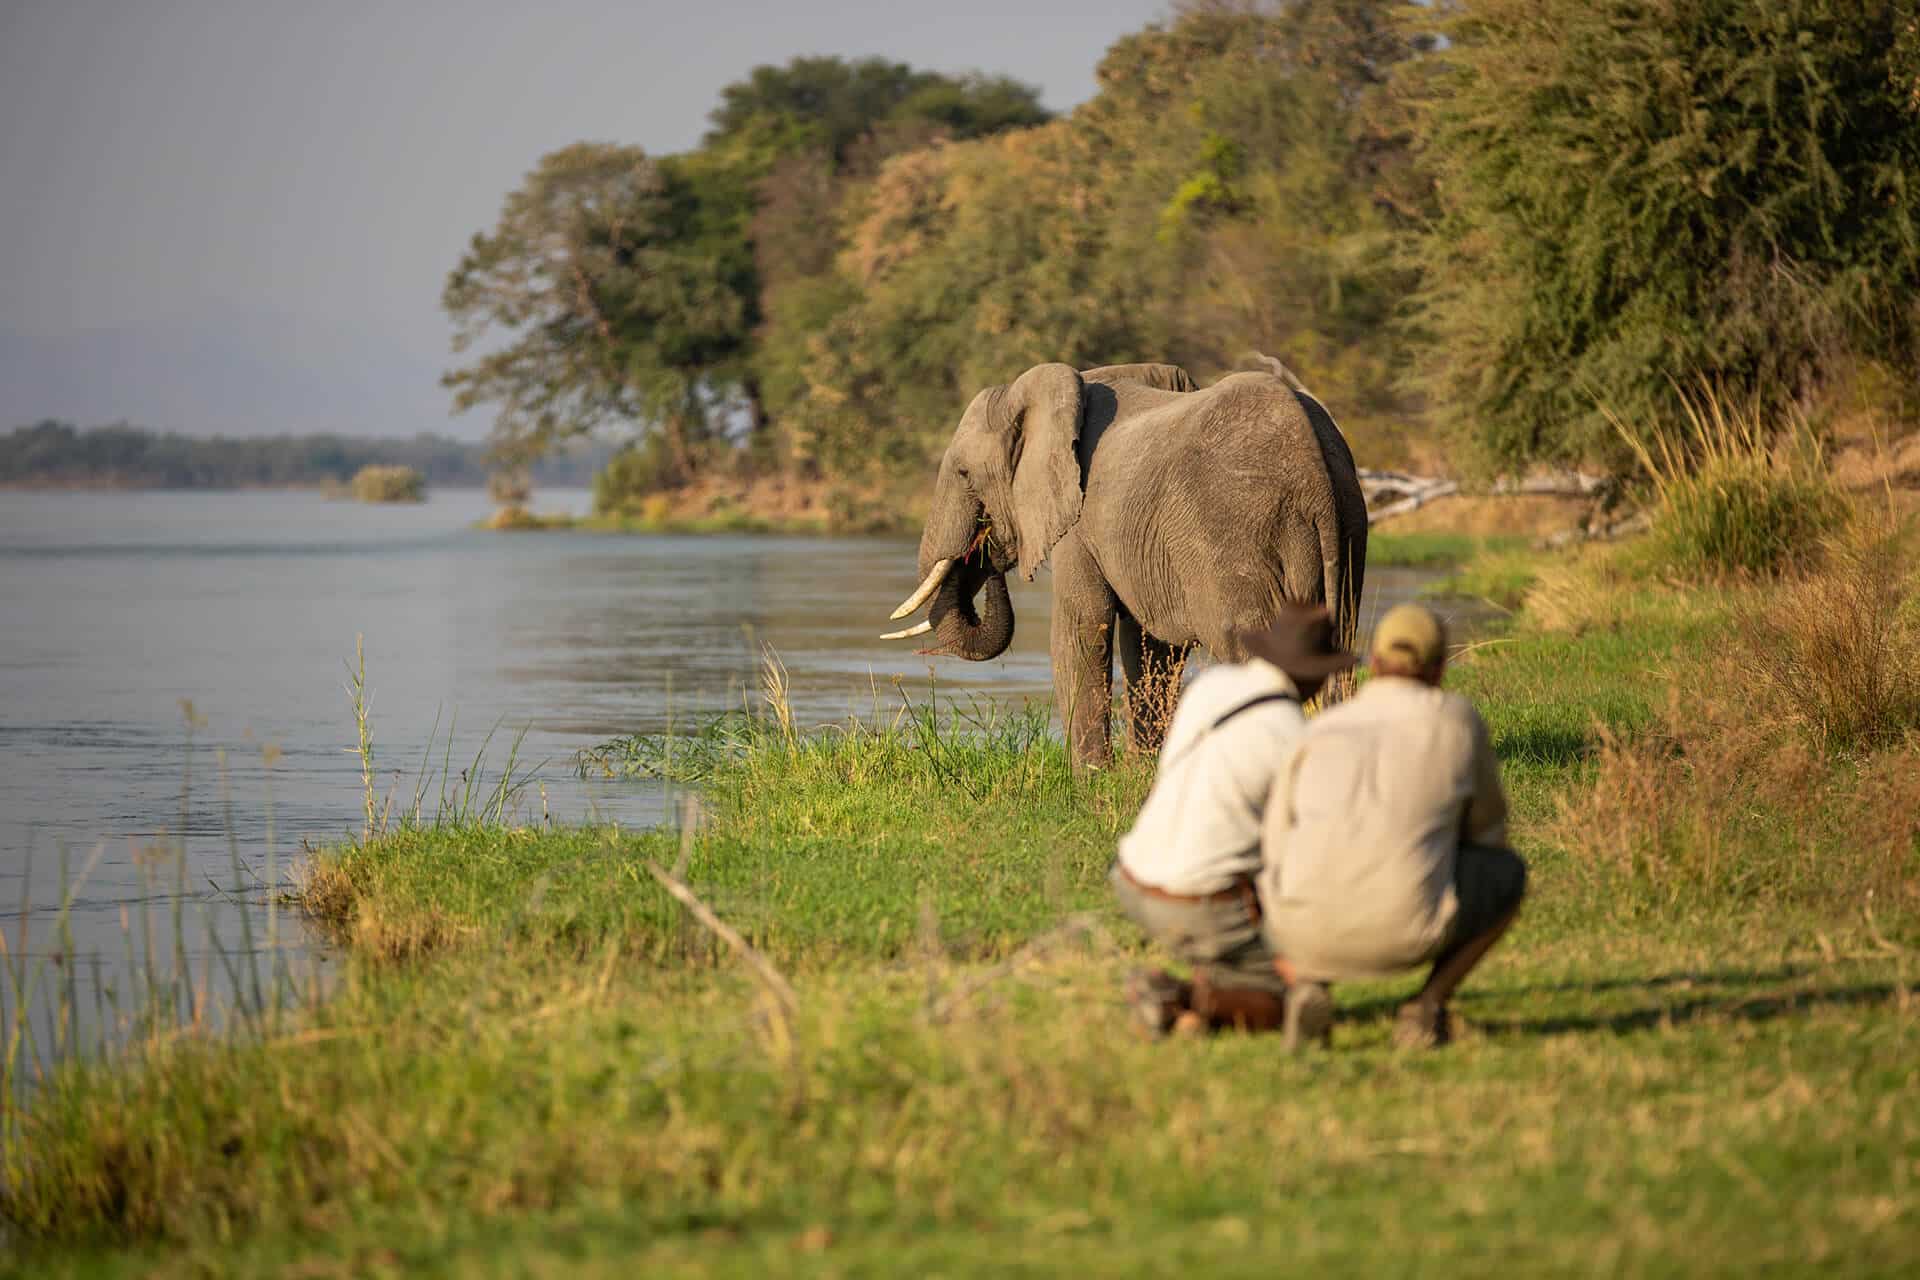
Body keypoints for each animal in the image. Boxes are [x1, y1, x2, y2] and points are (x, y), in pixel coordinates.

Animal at [881, 359, 1369, 771]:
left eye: (964, 474)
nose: (985, 546)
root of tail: (1313, 474)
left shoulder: (1081, 521)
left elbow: (1081, 627)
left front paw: (1089, 780)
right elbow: (1153, 648)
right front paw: (1141, 772)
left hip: (1235, 536)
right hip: (1347, 534)